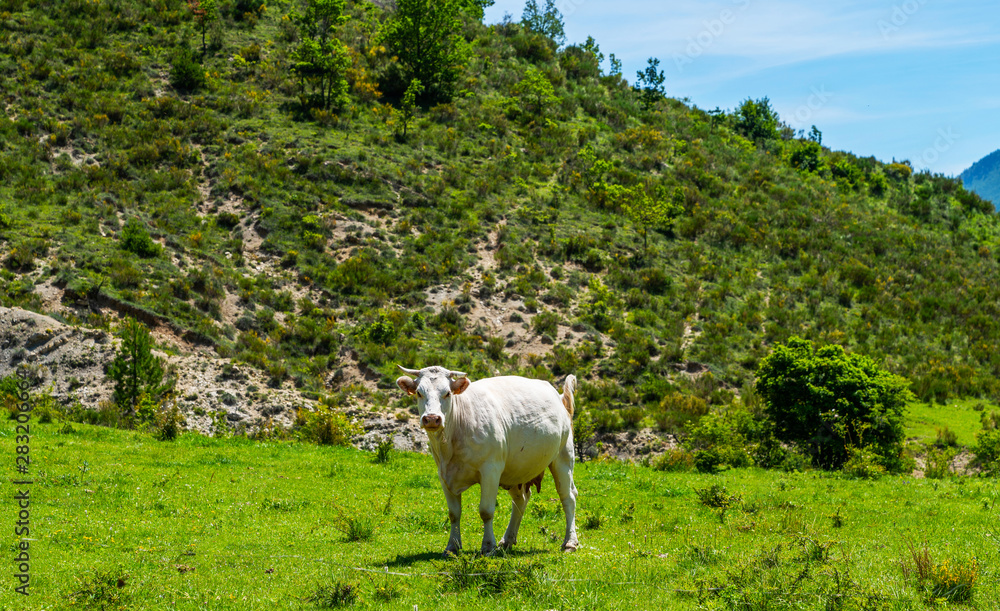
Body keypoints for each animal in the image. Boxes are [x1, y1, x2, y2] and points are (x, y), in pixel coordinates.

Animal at [396, 365, 579, 556]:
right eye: (419, 393)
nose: (432, 418)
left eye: (447, 393)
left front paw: (488, 546)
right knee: (520, 500)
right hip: (515, 470)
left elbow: (486, 511)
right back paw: (507, 540)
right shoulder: (444, 474)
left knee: (568, 496)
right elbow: (454, 513)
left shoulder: (491, 470)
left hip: (563, 457)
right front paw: (452, 547)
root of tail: (558, 397)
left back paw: (570, 542)